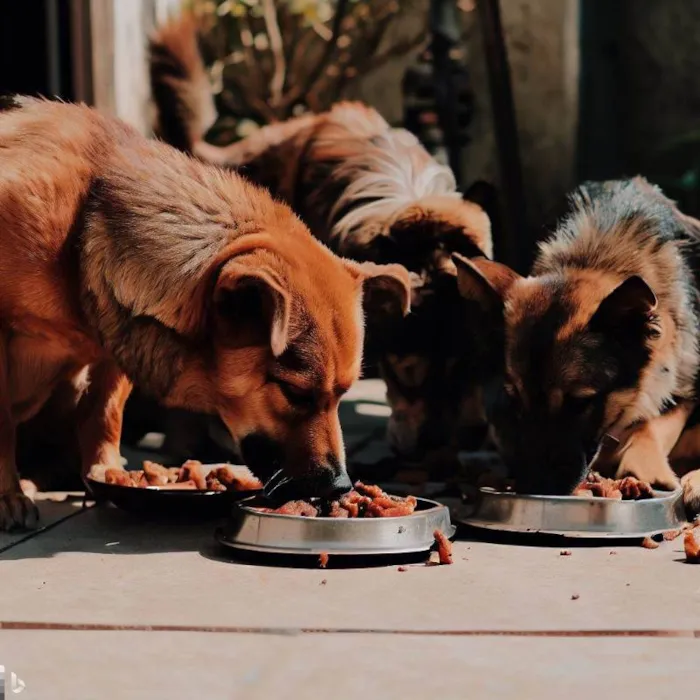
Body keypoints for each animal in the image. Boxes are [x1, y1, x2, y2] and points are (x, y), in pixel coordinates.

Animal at [0, 94, 410, 532]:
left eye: (343, 395)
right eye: (295, 393)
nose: (340, 486)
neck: (82, 229)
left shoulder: (112, 338)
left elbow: (104, 412)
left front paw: (106, 473)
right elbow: (5, 428)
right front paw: (8, 495)